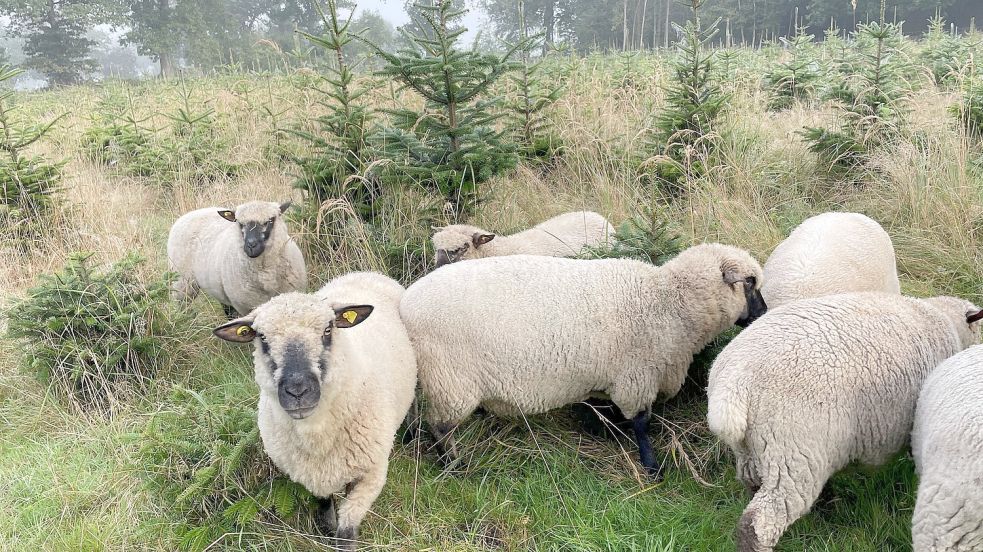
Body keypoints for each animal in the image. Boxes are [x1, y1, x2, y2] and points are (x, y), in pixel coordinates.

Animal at [167, 200, 307, 316]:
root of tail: (189, 214)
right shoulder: (245, 306)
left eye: (270, 220)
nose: (251, 246)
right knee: (182, 305)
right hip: (182, 281)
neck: (266, 276)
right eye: (240, 223)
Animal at [213, 272, 416, 551]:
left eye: (328, 329)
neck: (317, 437)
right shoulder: (310, 474)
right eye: (262, 338)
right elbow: (324, 507)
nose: (298, 390)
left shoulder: (371, 475)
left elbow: (346, 530)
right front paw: (326, 531)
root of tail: (363, 273)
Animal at [400, 243, 768, 477]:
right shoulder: (636, 377)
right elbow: (642, 423)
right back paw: (454, 467)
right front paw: (651, 467)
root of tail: (404, 306)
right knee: (440, 428)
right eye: (750, 282)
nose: (763, 313)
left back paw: (412, 439)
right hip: (451, 379)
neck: (668, 301)